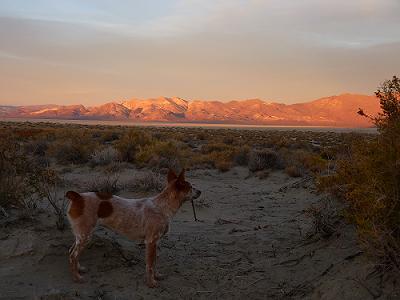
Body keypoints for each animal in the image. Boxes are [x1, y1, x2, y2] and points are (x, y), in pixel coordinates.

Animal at [67, 169, 203, 288]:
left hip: (81, 235)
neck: (162, 207)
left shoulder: (156, 242)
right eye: (191, 187)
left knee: (72, 251)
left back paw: (79, 269)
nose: (200, 191)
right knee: (73, 255)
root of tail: (78, 196)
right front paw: (151, 283)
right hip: (85, 236)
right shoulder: (151, 242)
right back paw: (76, 277)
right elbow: (150, 265)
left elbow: (155, 262)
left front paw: (157, 276)